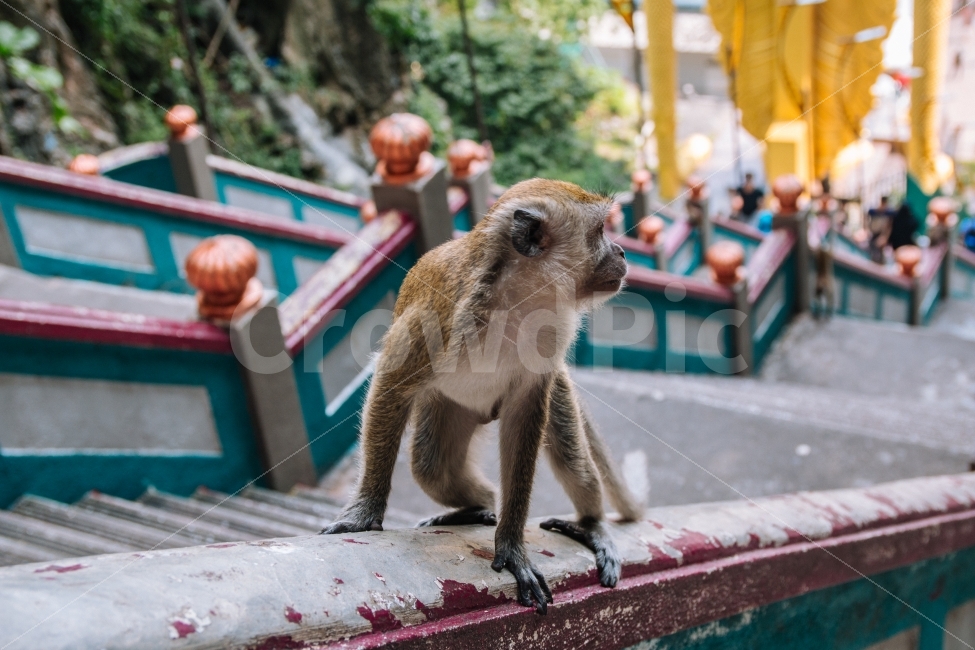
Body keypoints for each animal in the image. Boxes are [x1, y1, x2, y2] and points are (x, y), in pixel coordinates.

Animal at [322, 178, 643, 614]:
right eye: (598, 232)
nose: (622, 252)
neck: (518, 298)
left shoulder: (551, 340)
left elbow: (526, 415)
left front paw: (511, 545)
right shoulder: (433, 320)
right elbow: (392, 382)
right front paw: (365, 511)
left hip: (550, 393)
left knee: (572, 460)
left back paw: (590, 525)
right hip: (447, 407)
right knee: (433, 467)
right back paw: (477, 507)